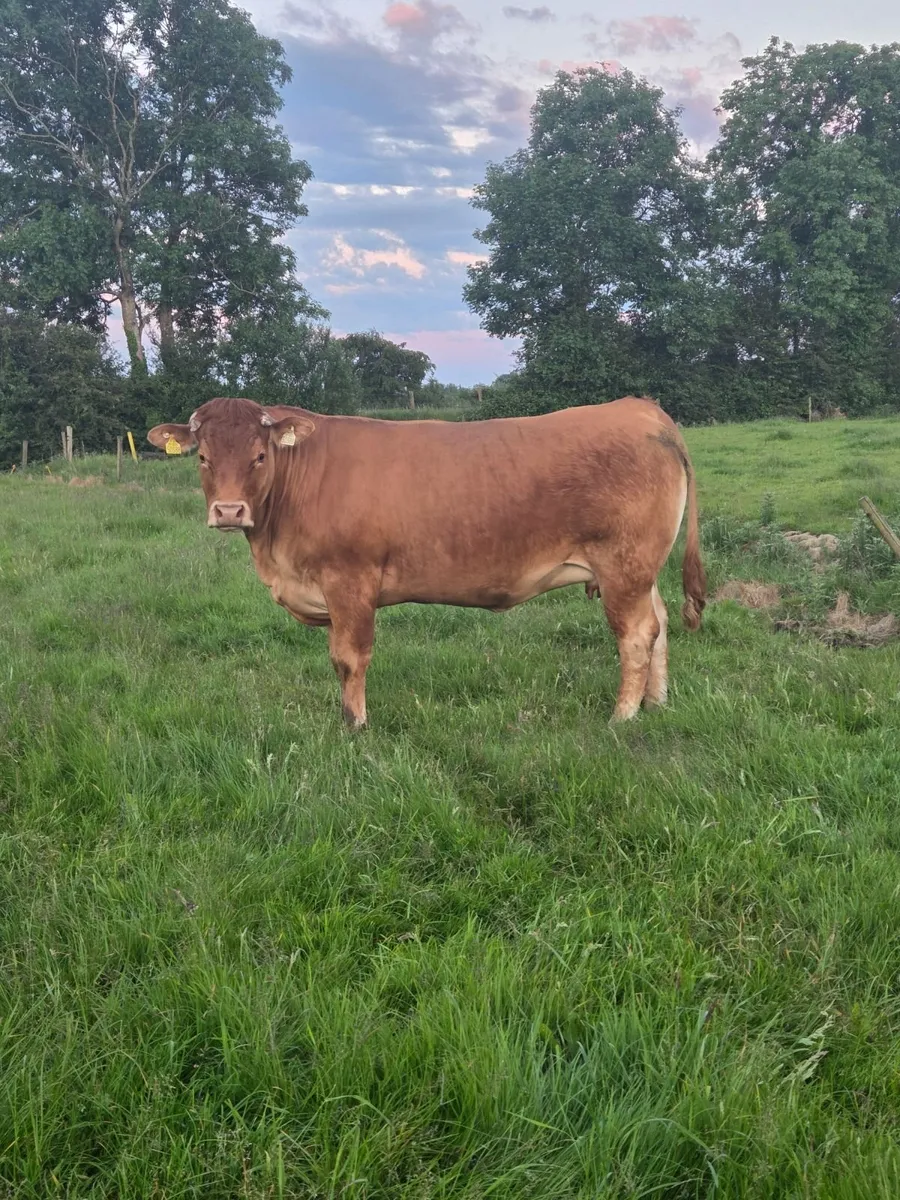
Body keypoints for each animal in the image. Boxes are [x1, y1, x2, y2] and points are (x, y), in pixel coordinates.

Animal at [148, 395, 706, 729]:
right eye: (202, 458)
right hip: (638, 570)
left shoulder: (349, 581)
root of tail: (642, 409)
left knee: (635, 636)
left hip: (623, 567)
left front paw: (354, 725)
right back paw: (656, 703)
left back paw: (623, 716)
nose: (228, 511)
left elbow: (348, 658)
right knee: (658, 625)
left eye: (260, 456)